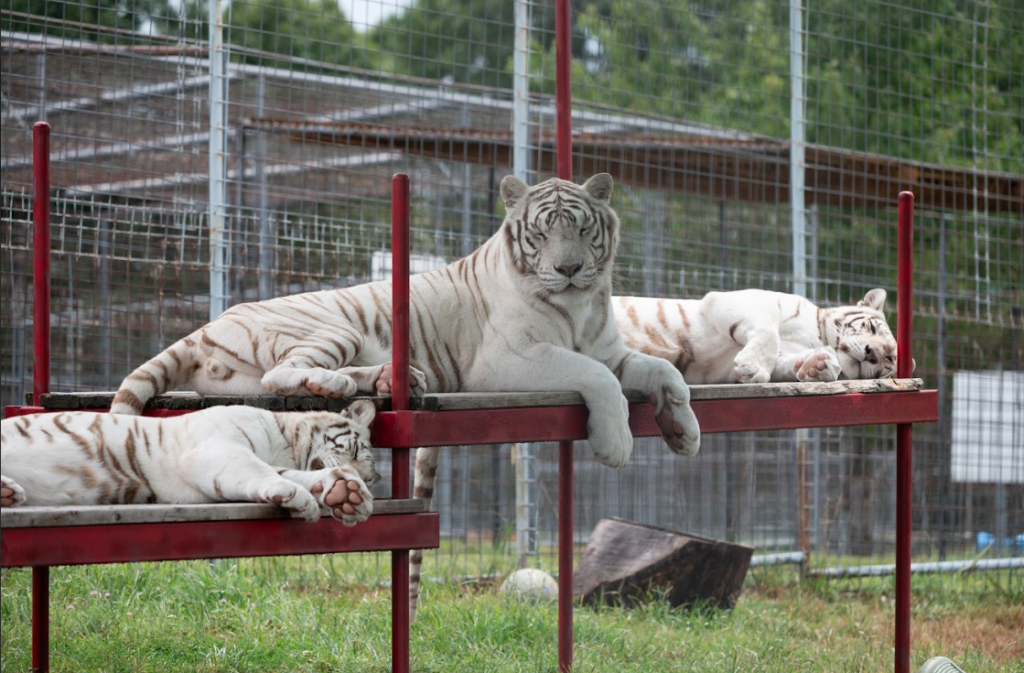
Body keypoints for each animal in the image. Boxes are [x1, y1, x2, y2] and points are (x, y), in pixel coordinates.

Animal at [0, 399, 380, 524]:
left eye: (371, 477)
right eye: (356, 451)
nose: (365, 478)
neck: (286, 443)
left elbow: (295, 474)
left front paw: (346, 494)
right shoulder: (216, 449)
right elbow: (263, 472)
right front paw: (301, 498)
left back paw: (9, 494)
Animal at [606, 286, 905, 385]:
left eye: (888, 361)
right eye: (872, 328)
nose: (872, 353)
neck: (819, 337)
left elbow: (786, 360)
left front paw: (818, 366)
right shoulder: (745, 301)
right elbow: (768, 333)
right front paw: (752, 368)